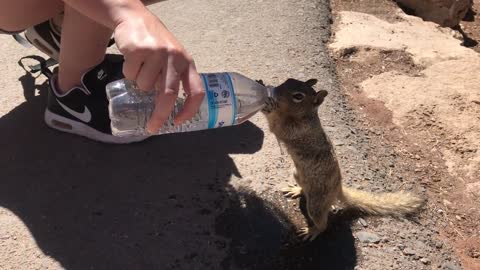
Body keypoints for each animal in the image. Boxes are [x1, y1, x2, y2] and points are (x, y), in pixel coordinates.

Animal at [260, 78, 426, 240]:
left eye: (298, 96)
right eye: (288, 80)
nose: (275, 91)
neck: (306, 116)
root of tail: (337, 188)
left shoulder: (295, 130)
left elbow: (275, 125)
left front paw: (266, 103)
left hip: (316, 203)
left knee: (322, 222)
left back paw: (312, 230)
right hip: (297, 174)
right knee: (304, 190)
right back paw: (297, 190)